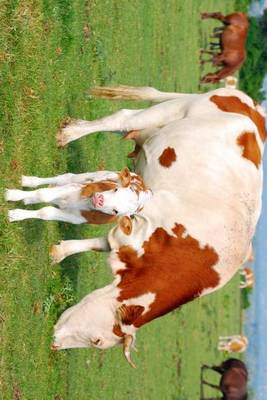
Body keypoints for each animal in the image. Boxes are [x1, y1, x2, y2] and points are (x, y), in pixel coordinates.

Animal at [5, 166, 153, 231]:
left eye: (116, 211)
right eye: (116, 189)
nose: (99, 199)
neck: (84, 203)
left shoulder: (76, 218)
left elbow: (47, 212)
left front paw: (17, 215)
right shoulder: (74, 188)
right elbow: (43, 194)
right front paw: (12, 195)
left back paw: (29, 199)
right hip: (85, 177)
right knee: (64, 178)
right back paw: (28, 181)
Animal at [51, 86, 266, 368]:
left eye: (96, 342)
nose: (54, 343)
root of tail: (251, 105)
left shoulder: (131, 241)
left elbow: (98, 244)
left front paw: (61, 251)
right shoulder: (141, 217)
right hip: (170, 111)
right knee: (122, 118)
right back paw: (70, 134)